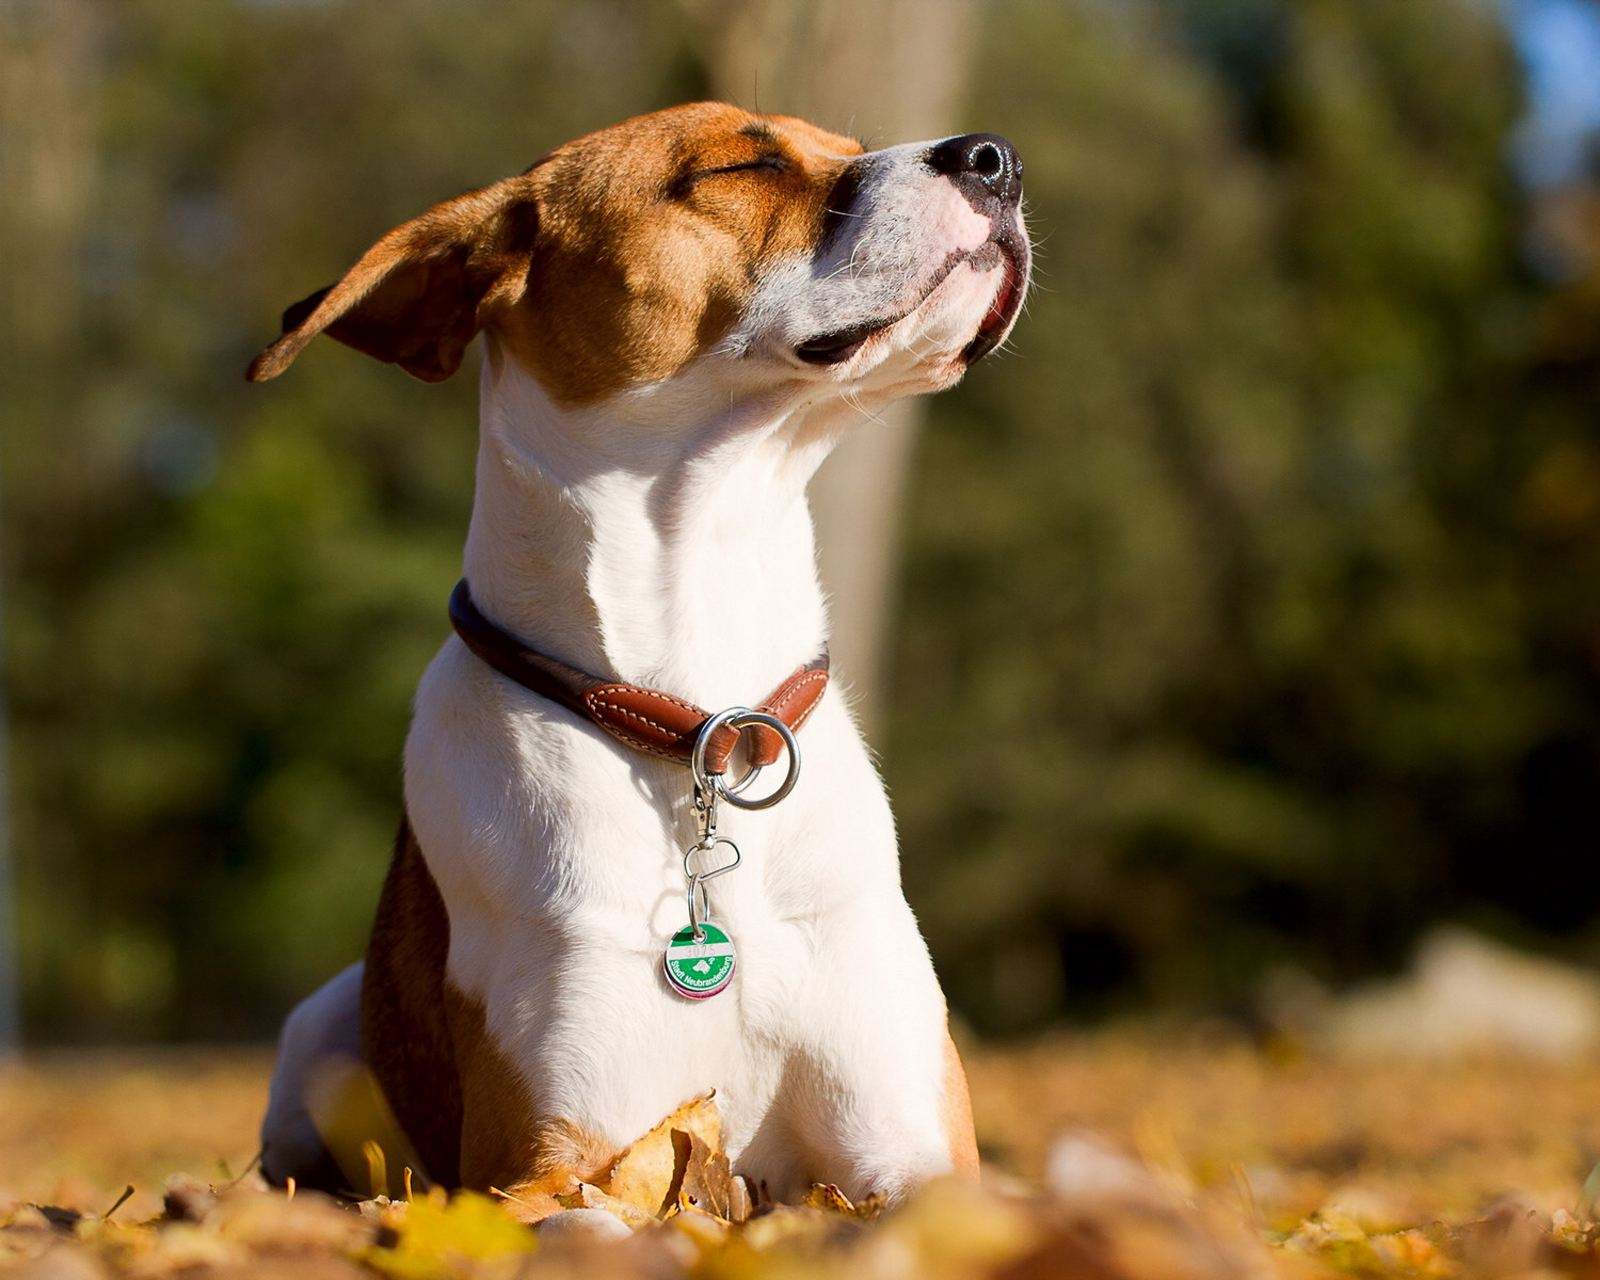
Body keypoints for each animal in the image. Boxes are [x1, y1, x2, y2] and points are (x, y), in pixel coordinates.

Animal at [249, 102, 1024, 1209]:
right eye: (737, 165)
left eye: (843, 142)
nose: (995, 158)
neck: (699, 718)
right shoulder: (545, 1164)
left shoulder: (917, 1147)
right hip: (317, 1033)